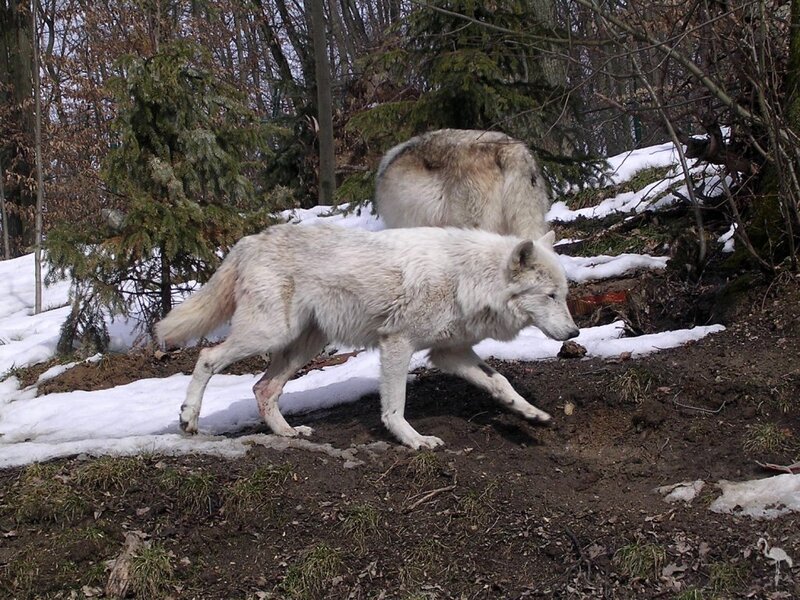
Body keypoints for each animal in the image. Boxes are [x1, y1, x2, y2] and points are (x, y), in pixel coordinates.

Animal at [155, 224, 578, 450]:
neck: (466, 279)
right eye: (550, 296)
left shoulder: (449, 354)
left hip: (302, 346)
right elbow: (394, 407)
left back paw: (289, 433)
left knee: (263, 388)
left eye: (564, 295)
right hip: (268, 335)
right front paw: (413, 440)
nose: (575, 332)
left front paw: (532, 414)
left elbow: (501, 382)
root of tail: (249, 240)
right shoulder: (397, 344)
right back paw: (188, 419)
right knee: (207, 358)